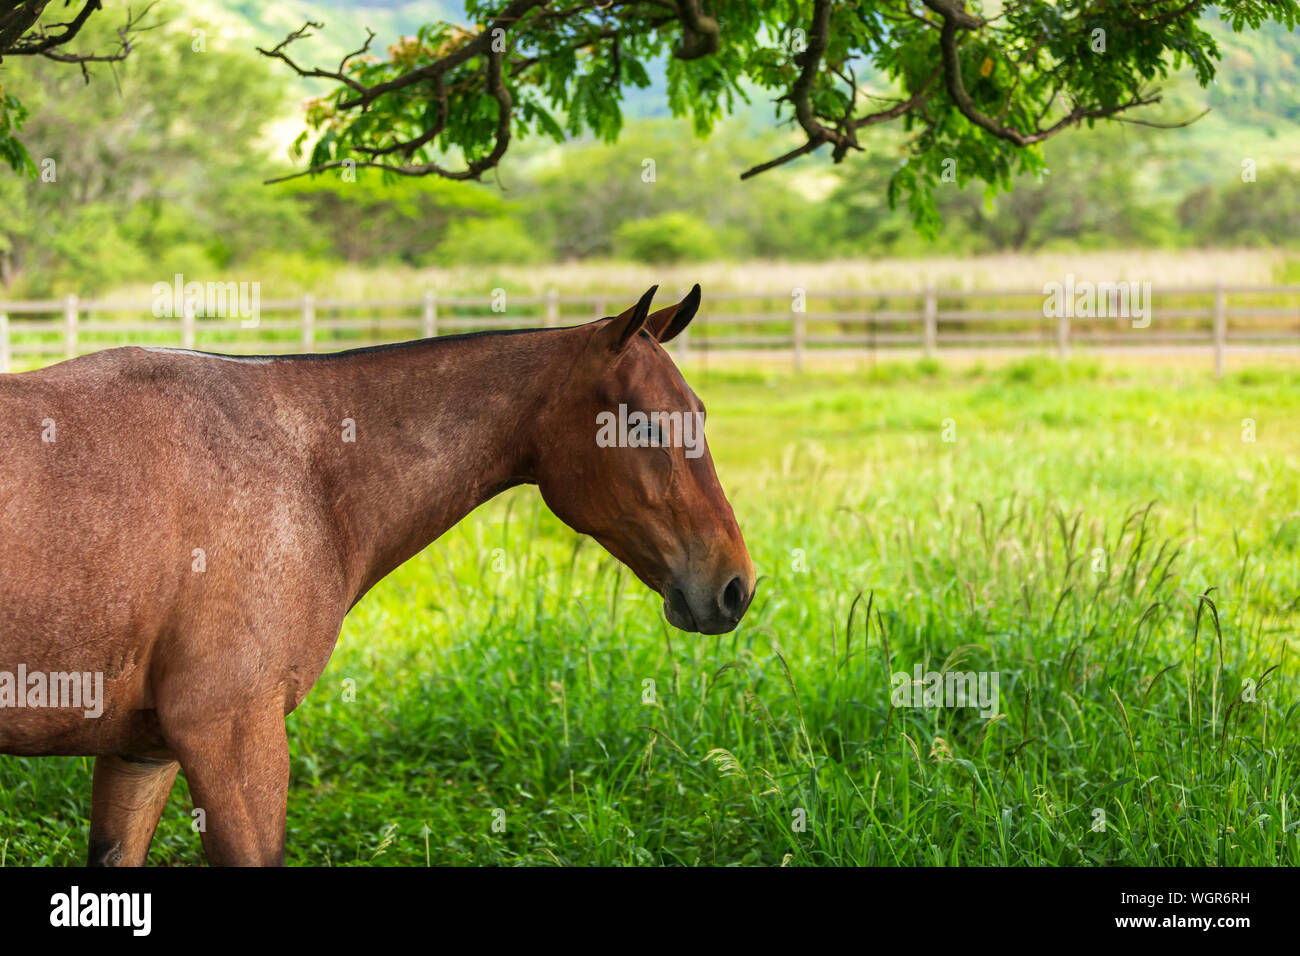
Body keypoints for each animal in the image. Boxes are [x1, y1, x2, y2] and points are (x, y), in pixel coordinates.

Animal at [0, 282, 754, 868]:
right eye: (645, 427)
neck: (301, 466)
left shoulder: (142, 752)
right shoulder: (231, 735)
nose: (735, 587)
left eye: (700, 415)